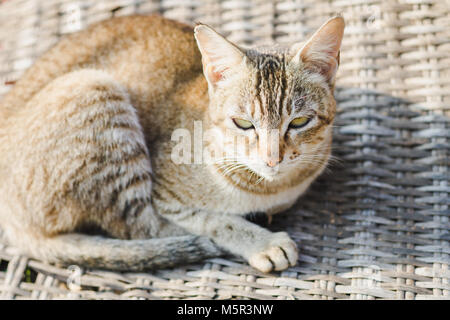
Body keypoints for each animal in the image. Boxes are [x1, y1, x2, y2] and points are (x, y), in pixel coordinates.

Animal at [0, 13, 344, 272]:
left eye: (299, 122)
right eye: (244, 124)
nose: (272, 158)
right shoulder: (164, 194)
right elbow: (211, 220)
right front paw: (260, 240)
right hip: (93, 89)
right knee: (138, 229)